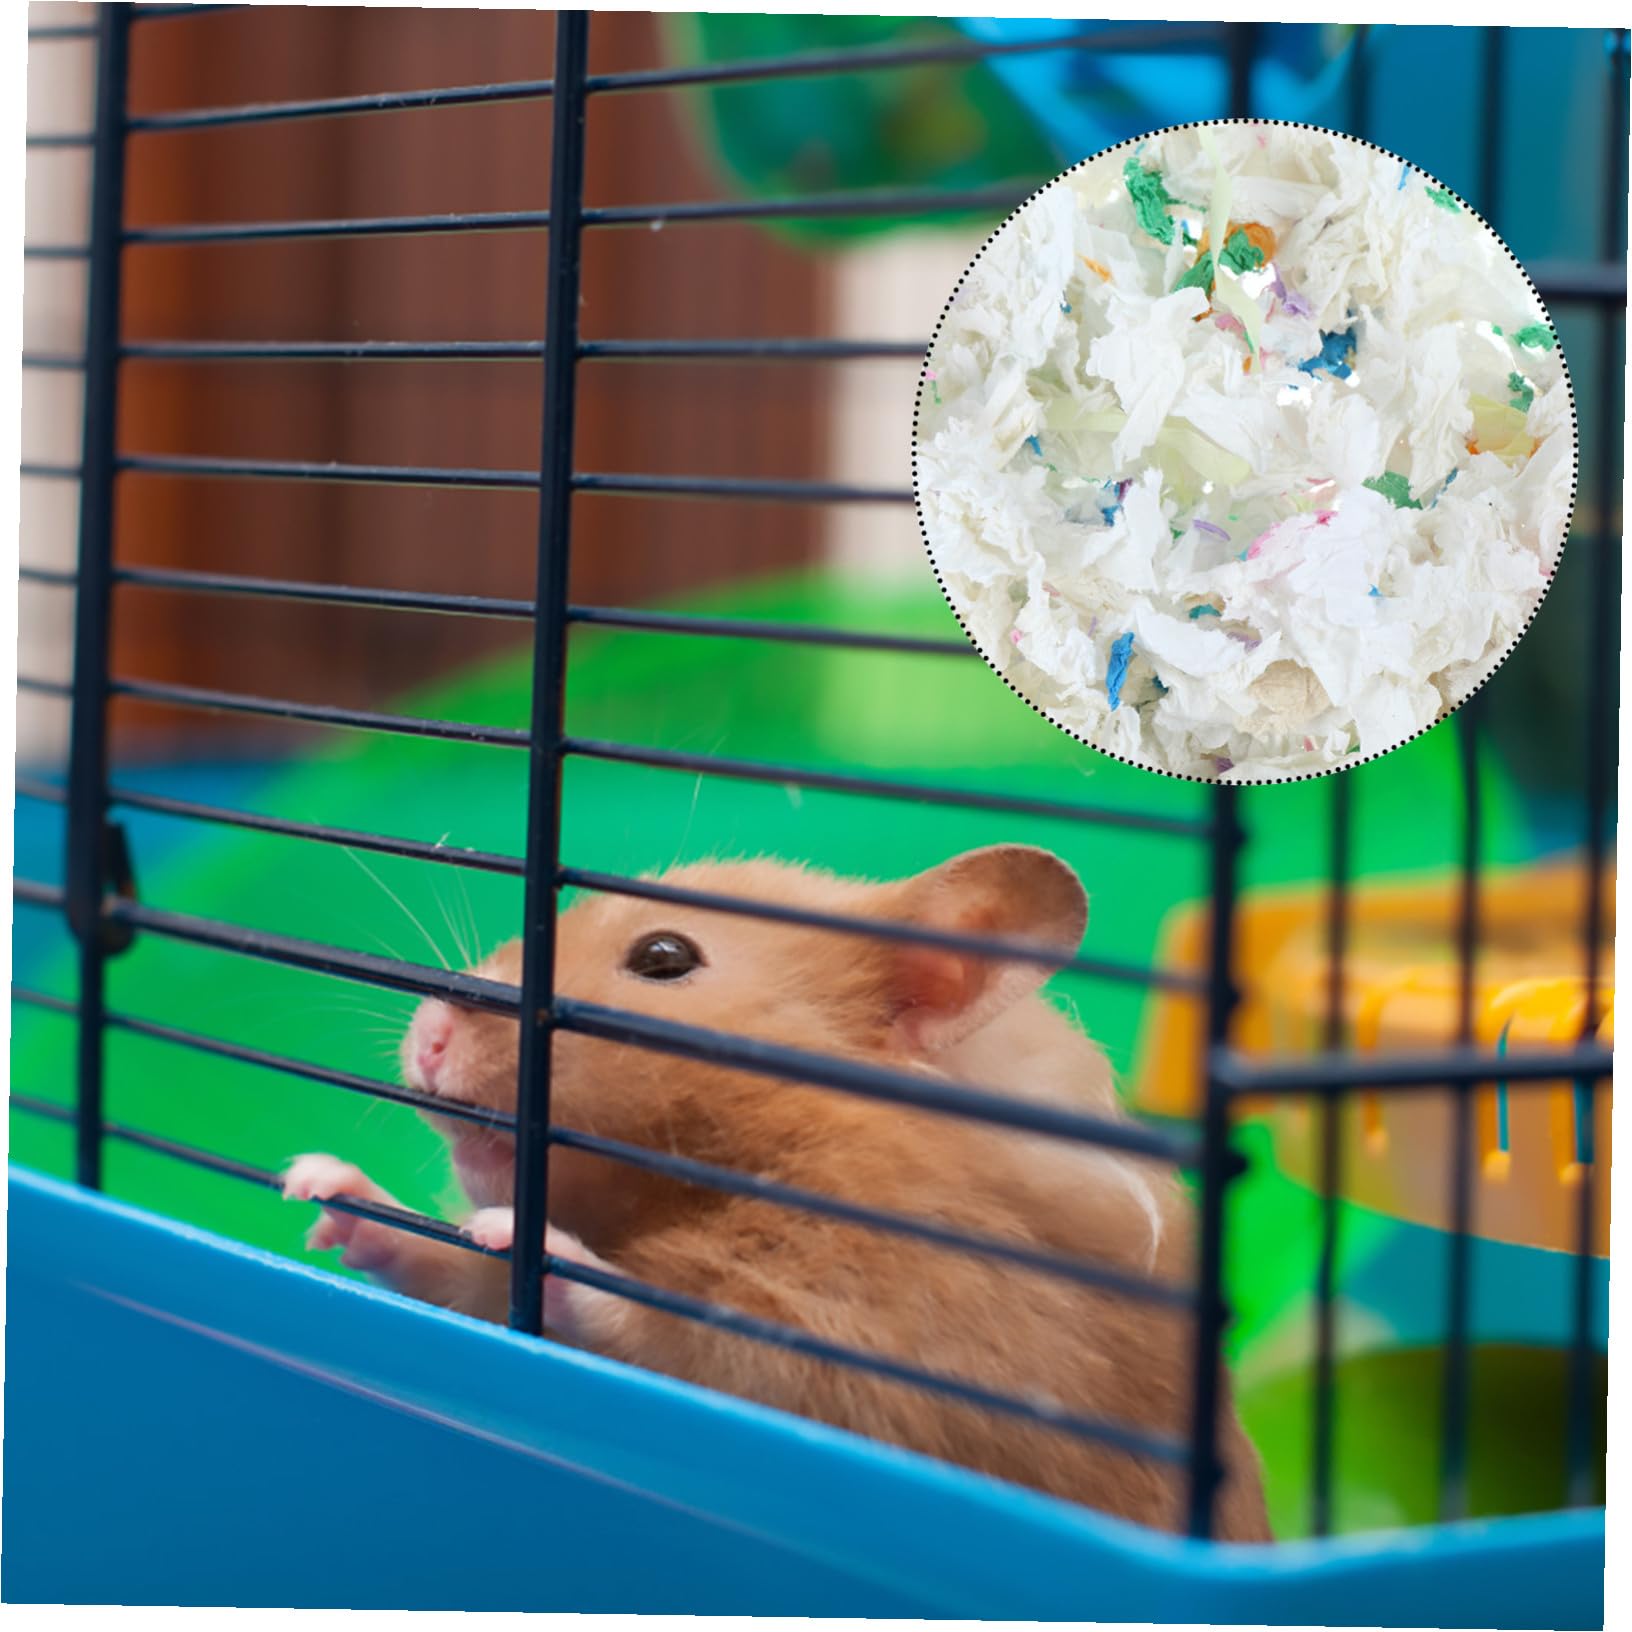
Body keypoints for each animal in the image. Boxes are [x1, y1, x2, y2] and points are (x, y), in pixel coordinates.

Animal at [284, 843, 1270, 1541]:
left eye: (665, 956)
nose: (428, 1033)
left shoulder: (898, 1341)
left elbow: (684, 1333)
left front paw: (526, 1241)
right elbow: (450, 1272)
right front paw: (317, 1184)